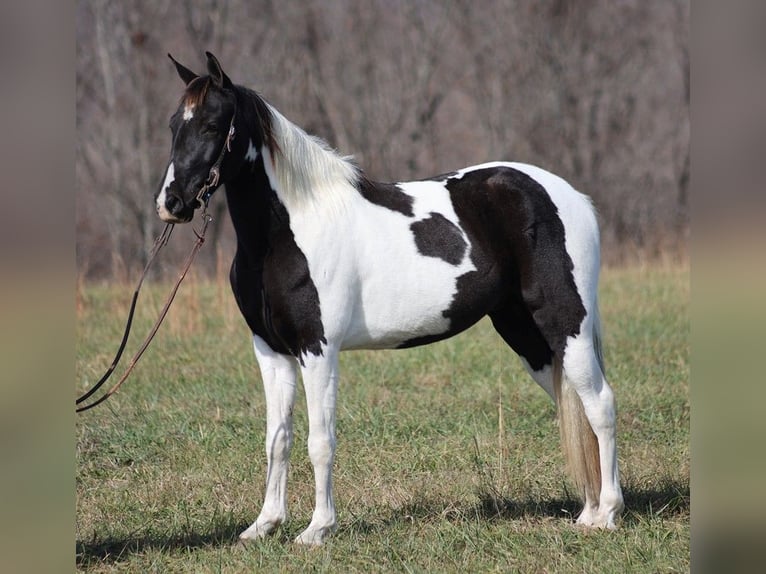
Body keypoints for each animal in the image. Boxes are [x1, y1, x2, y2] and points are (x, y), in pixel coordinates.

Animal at [154, 53, 624, 544]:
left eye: (212, 125)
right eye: (173, 124)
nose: (172, 203)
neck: (287, 230)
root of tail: (571, 197)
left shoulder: (317, 350)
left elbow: (320, 440)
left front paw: (317, 530)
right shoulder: (270, 351)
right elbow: (277, 439)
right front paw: (264, 525)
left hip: (565, 323)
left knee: (600, 404)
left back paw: (609, 513)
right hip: (527, 334)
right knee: (575, 406)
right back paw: (588, 513)